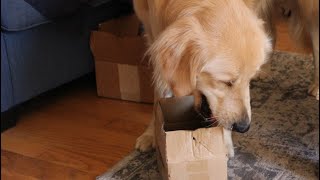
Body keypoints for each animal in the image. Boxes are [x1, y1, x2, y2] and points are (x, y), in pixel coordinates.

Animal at [134, 0, 272, 158]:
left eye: (249, 80)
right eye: (226, 82)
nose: (243, 127)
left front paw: (223, 142)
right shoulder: (152, 33)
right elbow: (159, 96)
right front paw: (151, 134)